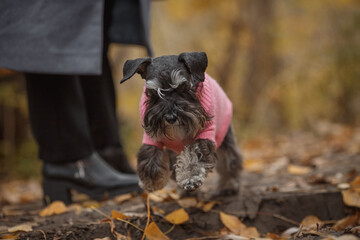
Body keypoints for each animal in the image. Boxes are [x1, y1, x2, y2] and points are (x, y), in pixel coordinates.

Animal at [120, 52, 242, 195]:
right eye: (153, 92)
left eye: (183, 88)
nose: (171, 117)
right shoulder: (151, 136)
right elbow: (149, 154)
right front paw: (151, 181)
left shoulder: (204, 134)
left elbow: (194, 154)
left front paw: (190, 177)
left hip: (225, 137)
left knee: (230, 161)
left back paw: (229, 185)